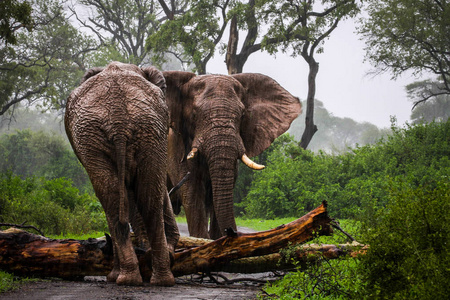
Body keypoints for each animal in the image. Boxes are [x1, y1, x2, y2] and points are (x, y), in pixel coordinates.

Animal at [64, 61, 178, 286]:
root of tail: (118, 122)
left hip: (131, 131)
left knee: (124, 200)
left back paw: (134, 279)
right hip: (133, 131)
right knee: (140, 200)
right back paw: (144, 279)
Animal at [163, 71, 300, 240]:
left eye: (242, 115)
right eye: (194, 115)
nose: (232, 232)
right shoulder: (177, 145)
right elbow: (193, 193)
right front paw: (202, 240)